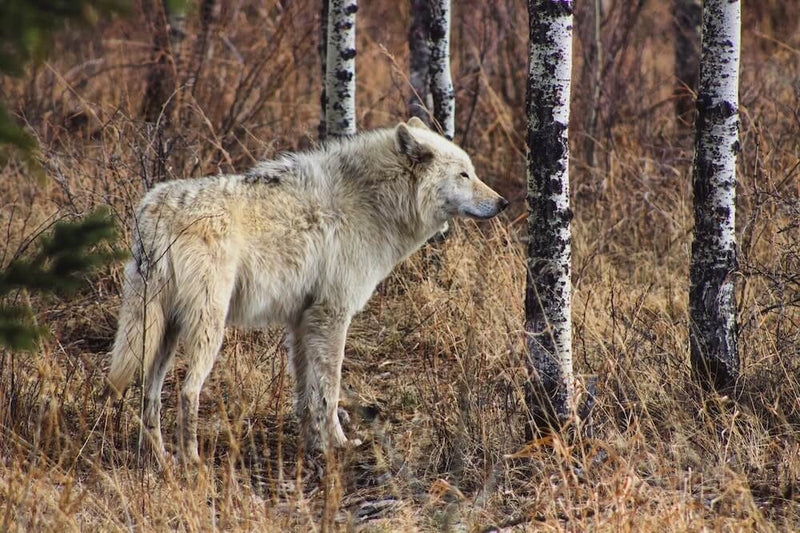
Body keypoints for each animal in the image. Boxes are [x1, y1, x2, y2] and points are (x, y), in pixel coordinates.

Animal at [106, 118, 508, 463]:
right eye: (464, 174)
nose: (503, 202)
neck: (372, 201)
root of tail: (155, 210)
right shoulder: (332, 314)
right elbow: (329, 391)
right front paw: (339, 445)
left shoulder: (302, 321)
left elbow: (306, 394)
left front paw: (314, 444)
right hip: (208, 328)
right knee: (188, 392)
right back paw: (190, 461)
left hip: (164, 332)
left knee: (149, 393)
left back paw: (157, 458)